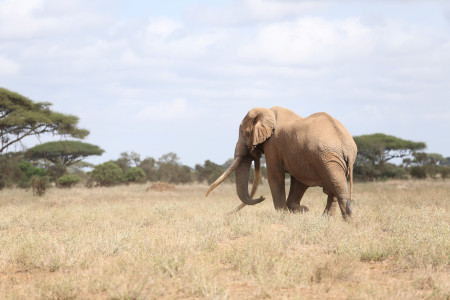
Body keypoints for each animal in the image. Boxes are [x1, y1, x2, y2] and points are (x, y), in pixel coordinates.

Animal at [206, 106, 356, 219]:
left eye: (242, 132)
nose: (262, 196)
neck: (267, 112)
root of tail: (346, 146)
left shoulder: (273, 145)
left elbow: (275, 176)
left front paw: (284, 214)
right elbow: (298, 180)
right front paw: (302, 210)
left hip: (327, 158)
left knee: (336, 187)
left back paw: (346, 220)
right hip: (329, 160)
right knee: (334, 188)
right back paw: (327, 219)